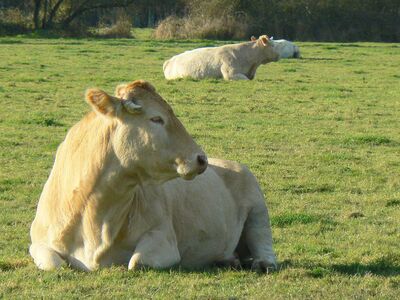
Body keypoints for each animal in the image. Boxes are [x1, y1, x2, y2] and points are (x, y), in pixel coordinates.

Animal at [29, 79, 276, 272]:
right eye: (156, 118)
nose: (200, 158)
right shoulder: (38, 241)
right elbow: (54, 263)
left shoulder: (164, 239)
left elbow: (136, 262)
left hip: (258, 210)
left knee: (264, 243)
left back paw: (262, 263)